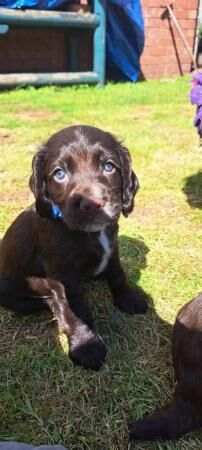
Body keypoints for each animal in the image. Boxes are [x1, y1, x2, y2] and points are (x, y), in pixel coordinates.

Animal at [0, 125, 148, 370]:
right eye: (59, 174)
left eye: (109, 166)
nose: (92, 204)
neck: (91, 233)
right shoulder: (62, 276)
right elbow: (73, 310)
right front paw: (87, 347)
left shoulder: (112, 248)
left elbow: (118, 274)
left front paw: (129, 299)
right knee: (50, 301)